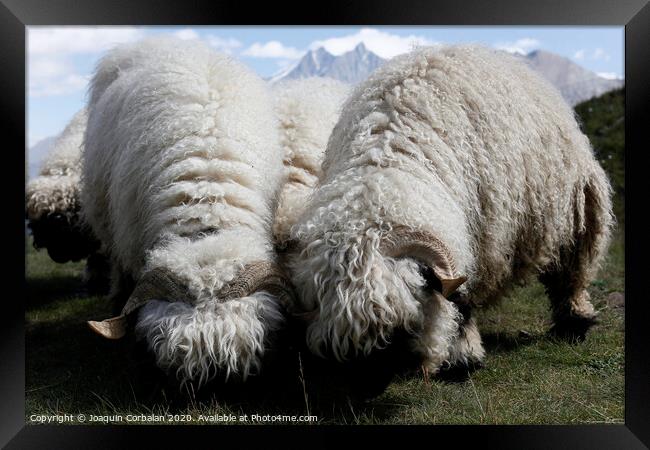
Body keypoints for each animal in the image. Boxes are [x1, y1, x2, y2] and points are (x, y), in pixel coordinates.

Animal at [288, 45, 612, 376]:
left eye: (400, 328)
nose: (393, 369)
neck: (385, 168)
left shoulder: (481, 245)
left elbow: (462, 301)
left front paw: (463, 356)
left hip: (575, 211)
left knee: (571, 273)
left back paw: (575, 323)